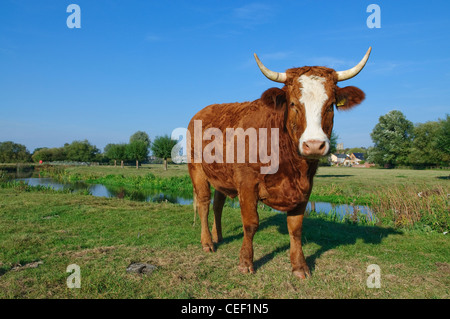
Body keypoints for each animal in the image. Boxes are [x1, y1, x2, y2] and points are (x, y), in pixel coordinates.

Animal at [188, 48, 370, 280]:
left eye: (330, 106)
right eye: (293, 104)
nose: (314, 145)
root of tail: (205, 109)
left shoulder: (305, 188)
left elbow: (296, 228)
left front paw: (300, 266)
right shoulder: (247, 183)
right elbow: (251, 223)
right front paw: (245, 262)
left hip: (223, 177)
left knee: (218, 204)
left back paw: (218, 236)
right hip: (197, 169)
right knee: (204, 203)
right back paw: (208, 242)